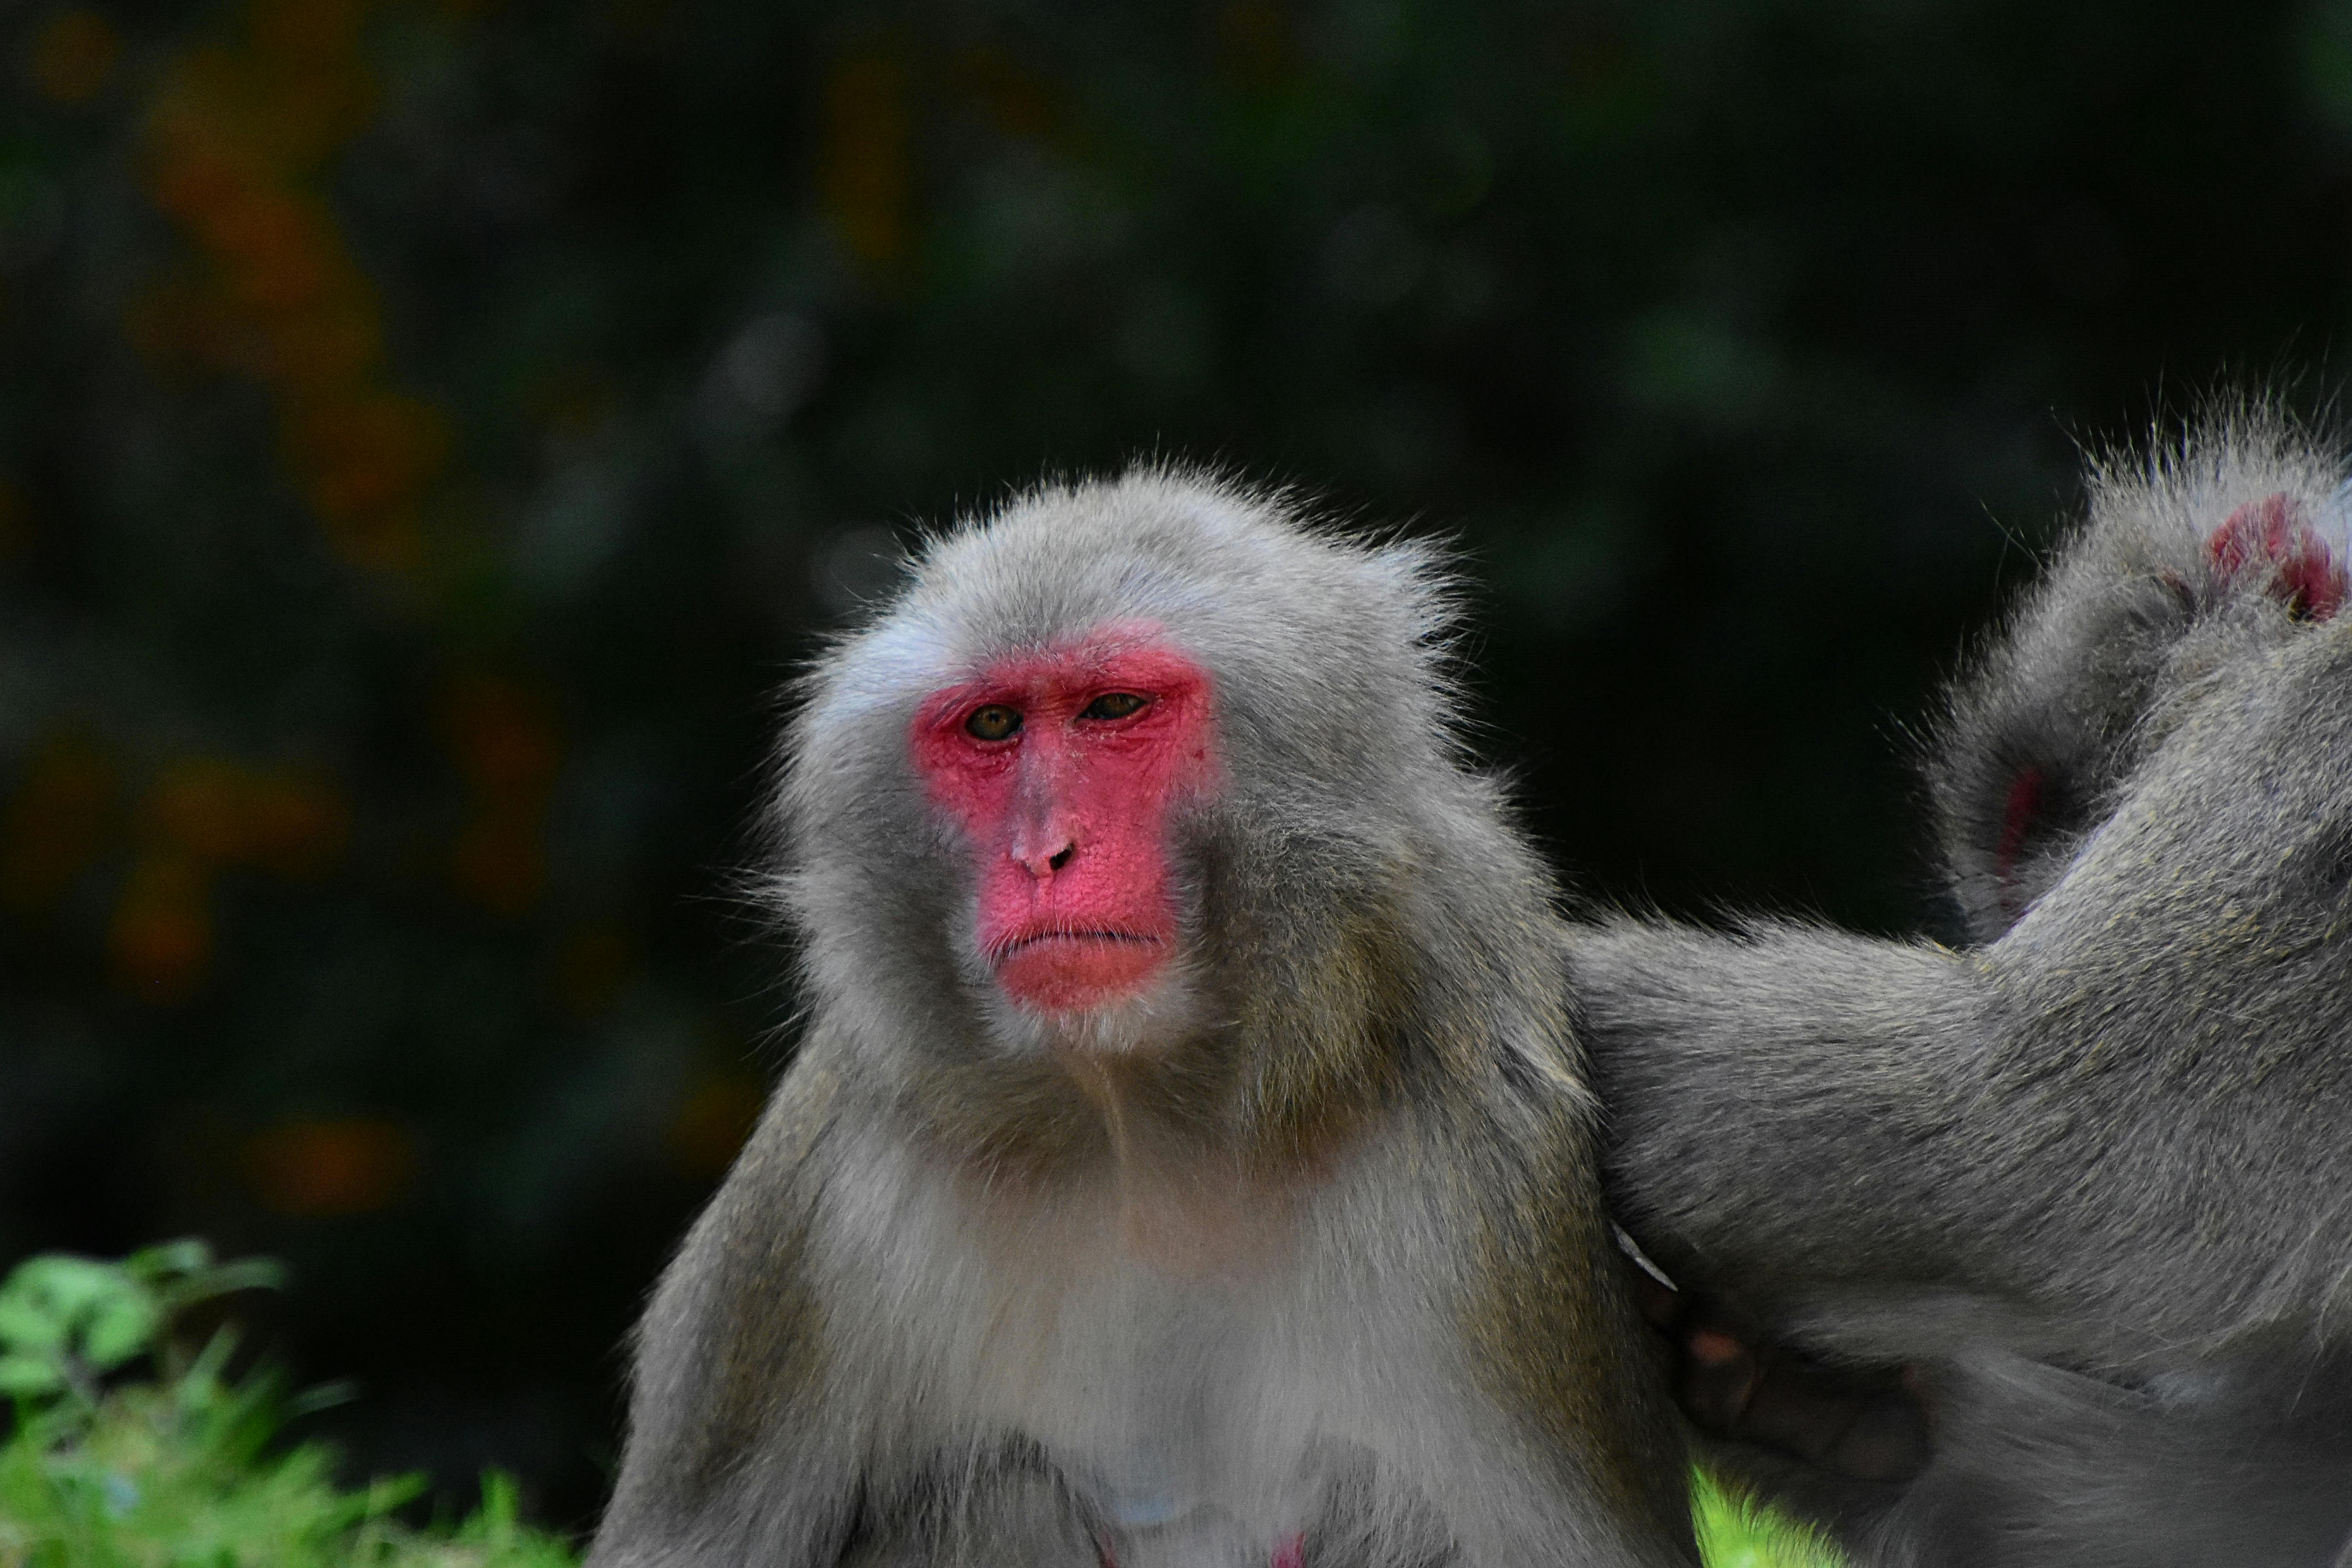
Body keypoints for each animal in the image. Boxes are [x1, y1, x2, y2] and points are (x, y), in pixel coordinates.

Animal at [586, 470, 1699, 1568]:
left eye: (1111, 708)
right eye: (993, 728)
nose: (1043, 854)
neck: (1142, 1118)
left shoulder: (1483, 1156)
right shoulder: (819, 1209)